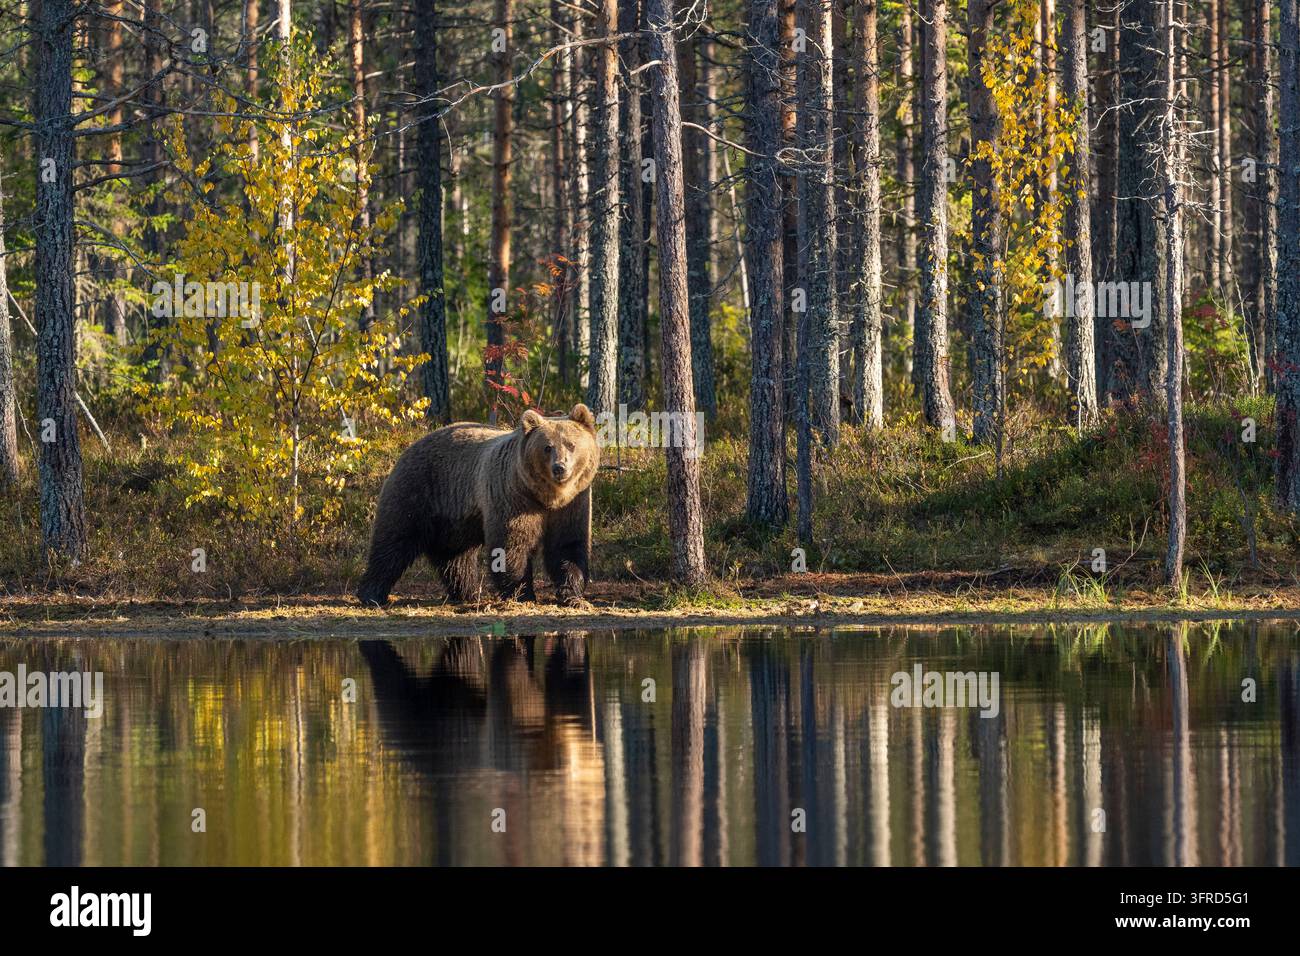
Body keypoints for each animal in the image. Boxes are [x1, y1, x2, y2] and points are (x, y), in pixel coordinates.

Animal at [357, 404, 600, 608]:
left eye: (571, 444)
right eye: (547, 447)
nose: (560, 468)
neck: (547, 497)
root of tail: (410, 446)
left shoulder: (572, 505)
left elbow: (567, 545)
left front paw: (573, 595)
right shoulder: (512, 496)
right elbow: (512, 545)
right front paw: (522, 594)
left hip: (453, 517)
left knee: (455, 558)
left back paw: (467, 593)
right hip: (417, 491)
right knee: (394, 541)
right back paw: (372, 594)